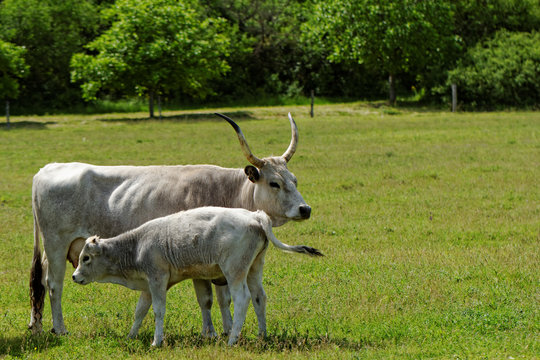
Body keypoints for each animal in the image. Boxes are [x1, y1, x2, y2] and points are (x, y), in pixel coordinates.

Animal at [28, 111, 312, 336]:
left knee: (40, 281)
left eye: (295, 180)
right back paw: (60, 329)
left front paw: (226, 329)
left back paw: (37, 325)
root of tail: (47, 169)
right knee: (54, 284)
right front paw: (213, 332)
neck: (230, 190)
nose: (305, 209)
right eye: (274, 183)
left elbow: (224, 298)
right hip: (56, 244)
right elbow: (208, 298)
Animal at [70, 207, 320, 348]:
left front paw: (156, 341)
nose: (74, 276)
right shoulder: (148, 286)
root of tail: (256, 216)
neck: (138, 244)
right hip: (254, 269)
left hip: (235, 272)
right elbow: (140, 311)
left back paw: (232, 340)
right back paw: (262, 335)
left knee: (243, 299)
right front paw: (132, 335)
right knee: (259, 298)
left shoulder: (158, 280)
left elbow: (158, 311)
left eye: (86, 258)